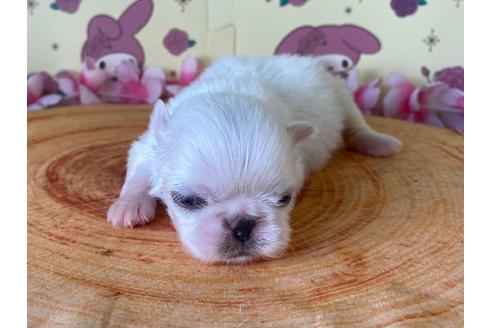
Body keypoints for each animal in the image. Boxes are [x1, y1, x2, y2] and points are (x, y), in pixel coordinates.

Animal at [107, 55, 400, 262]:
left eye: (285, 198)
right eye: (188, 201)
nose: (242, 226)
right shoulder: (146, 146)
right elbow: (138, 175)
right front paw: (129, 207)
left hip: (342, 97)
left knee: (357, 125)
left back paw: (379, 143)